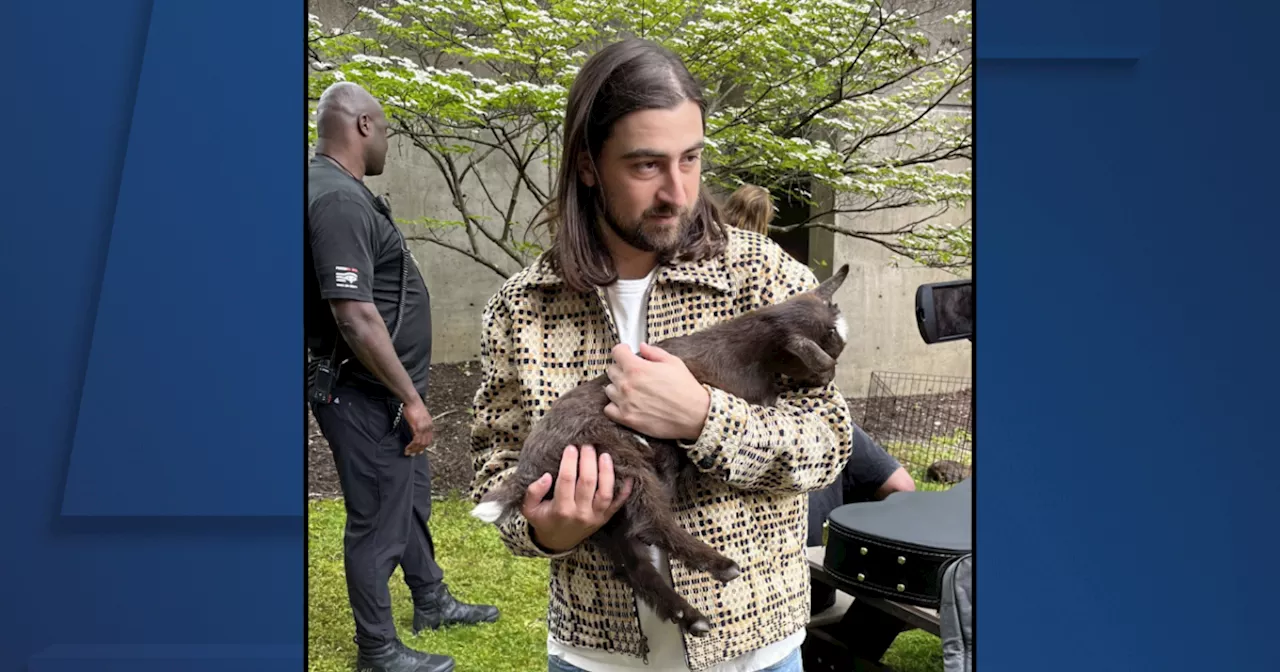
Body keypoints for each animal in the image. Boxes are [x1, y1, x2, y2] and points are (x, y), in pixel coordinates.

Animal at [471, 262, 849, 634]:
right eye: (828, 354)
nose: (828, 377)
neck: (747, 347)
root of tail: (529, 468)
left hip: (604, 514)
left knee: (630, 562)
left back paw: (689, 615)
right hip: (620, 461)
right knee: (649, 522)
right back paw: (720, 565)